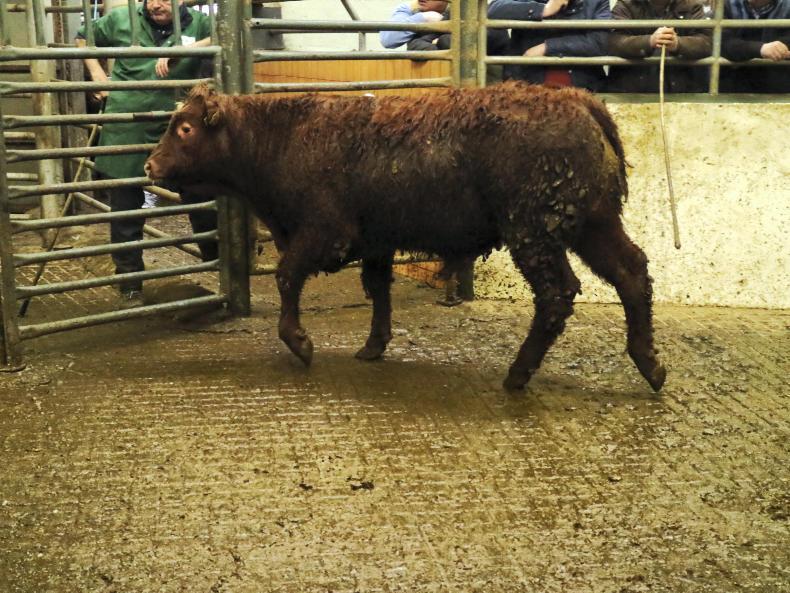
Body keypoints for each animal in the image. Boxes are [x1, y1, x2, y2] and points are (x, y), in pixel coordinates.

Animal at [145, 81, 666, 392]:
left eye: (185, 127)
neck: (283, 135)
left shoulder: (327, 234)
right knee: (632, 273)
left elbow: (288, 275)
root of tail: (580, 100)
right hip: (594, 225)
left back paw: (519, 373)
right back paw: (650, 365)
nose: (150, 165)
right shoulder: (377, 242)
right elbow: (378, 289)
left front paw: (300, 342)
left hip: (534, 234)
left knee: (558, 294)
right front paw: (374, 345)